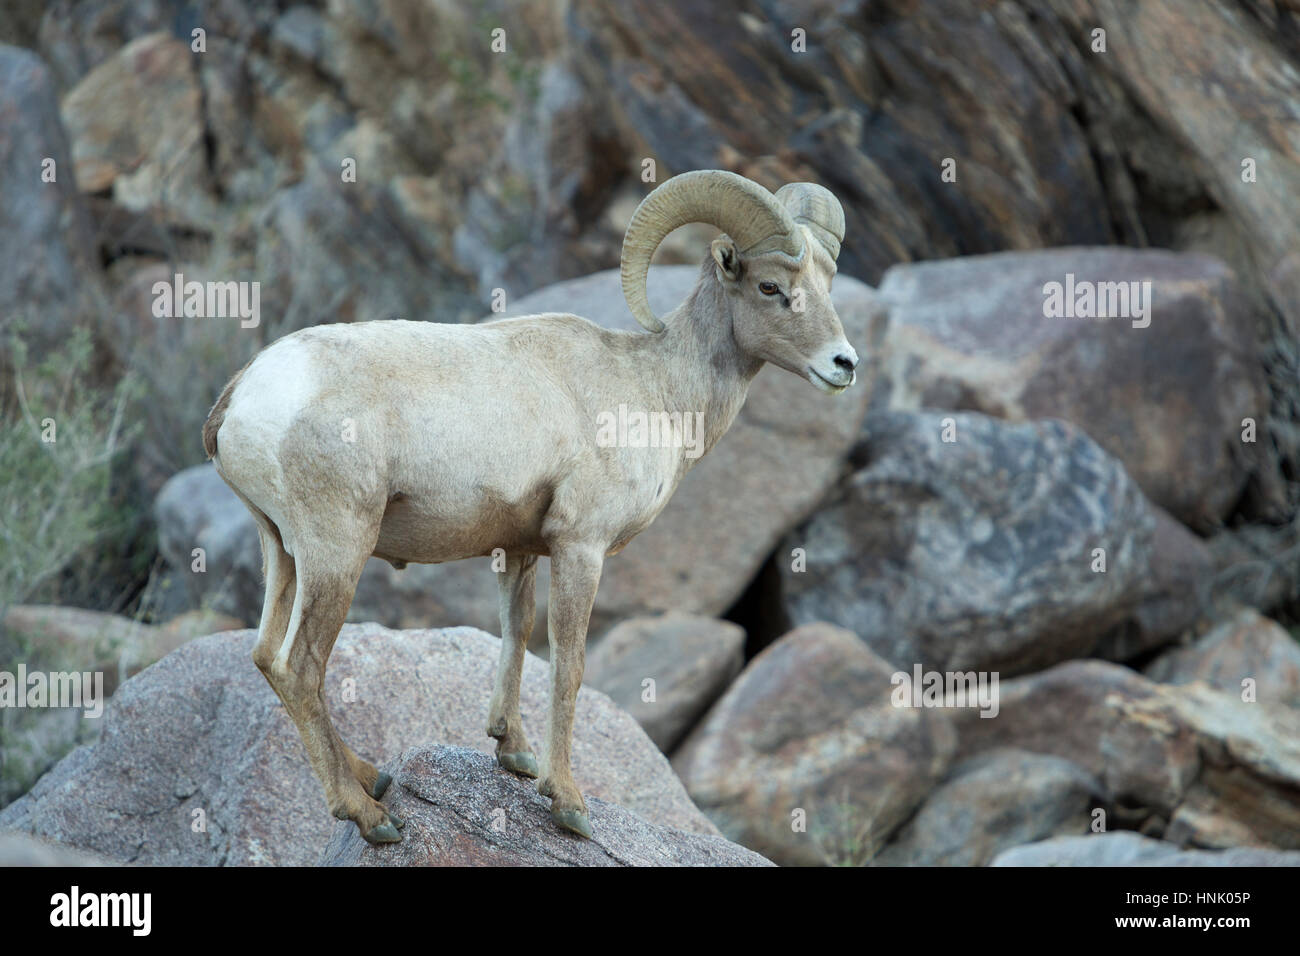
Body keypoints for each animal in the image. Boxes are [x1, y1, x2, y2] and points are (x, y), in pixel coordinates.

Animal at [202, 169, 859, 843]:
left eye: (826, 283)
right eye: (770, 286)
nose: (844, 365)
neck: (657, 391)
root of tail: (242, 396)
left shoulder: (518, 550)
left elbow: (515, 632)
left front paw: (514, 753)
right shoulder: (581, 547)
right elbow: (568, 664)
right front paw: (567, 803)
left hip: (282, 551)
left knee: (266, 656)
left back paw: (372, 776)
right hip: (337, 552)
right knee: (300, 667)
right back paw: (369, 815)